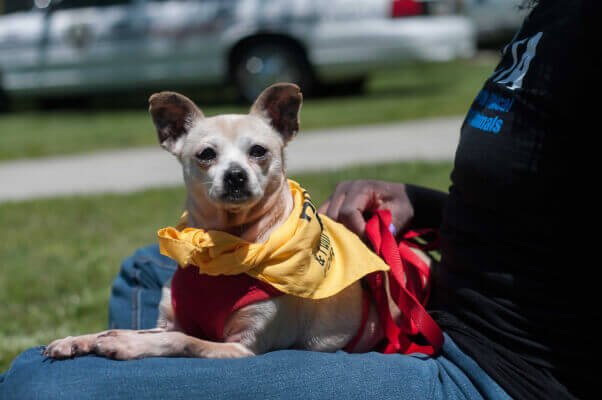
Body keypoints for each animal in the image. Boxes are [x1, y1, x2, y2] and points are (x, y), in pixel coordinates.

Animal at [44, 83, 426, 360]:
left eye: (258, 151)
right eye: (206, 155)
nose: (235, 175)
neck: (223, 247)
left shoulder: (241, 346)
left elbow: (182, 340)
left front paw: (126, 344)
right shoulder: (170, 322)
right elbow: (159, 331)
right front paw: (78, 339)